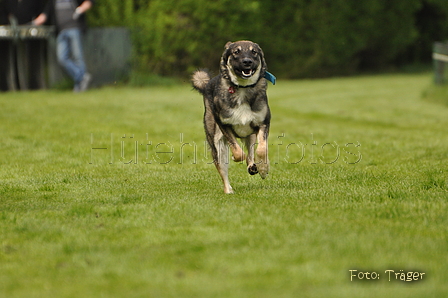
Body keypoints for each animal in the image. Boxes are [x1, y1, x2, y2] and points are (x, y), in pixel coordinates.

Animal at [192, 40, 274, 193]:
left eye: (254, 52)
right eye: (236, 52)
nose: (247, 62)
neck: (242, 88)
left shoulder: (263, 123)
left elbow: (261, 149)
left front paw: (263, 168)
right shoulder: (224, 125)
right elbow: (237, 151)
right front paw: (236, 158)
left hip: (250, 136)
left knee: (251, 152)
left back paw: (253, 166)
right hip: (216, 144)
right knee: (223, 168)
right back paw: (228, 190)